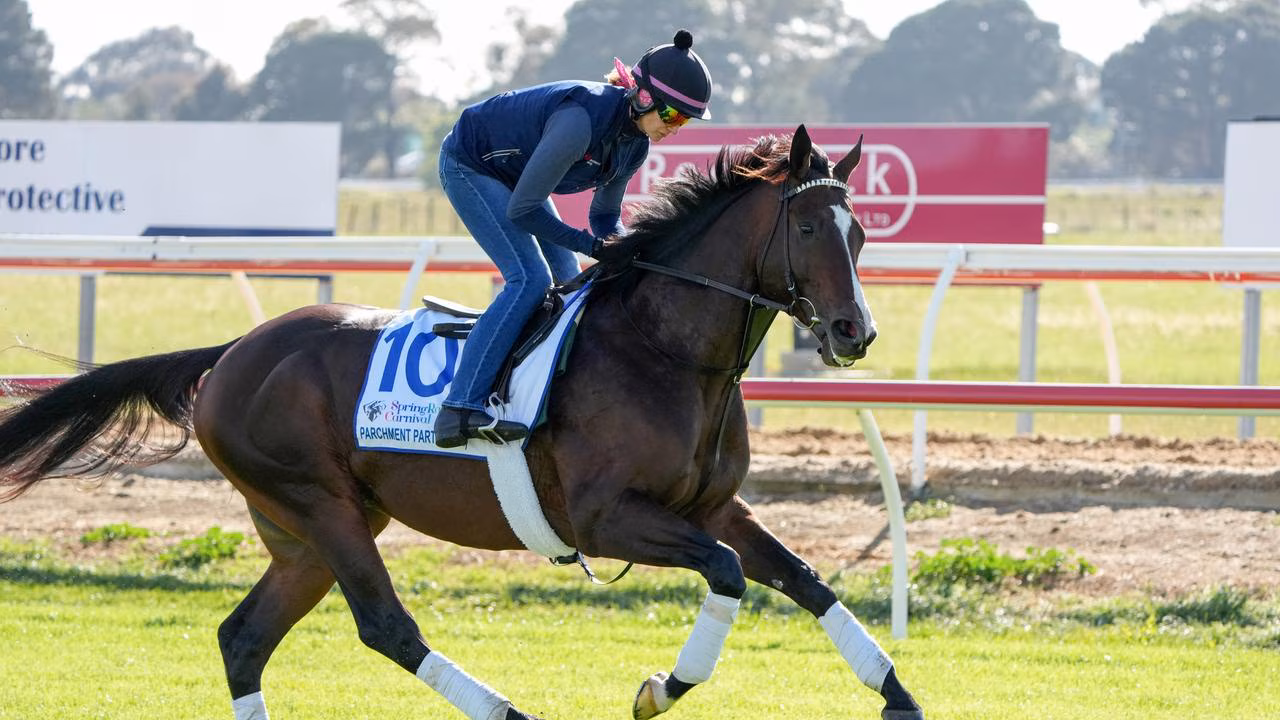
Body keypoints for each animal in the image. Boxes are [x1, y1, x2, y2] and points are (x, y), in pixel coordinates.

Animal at [0, 125, 924, 720]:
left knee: (243, 638)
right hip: (319, 504)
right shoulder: (607, 518)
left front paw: (899, 697)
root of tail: (233, 350)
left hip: (305, 531)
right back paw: (508, 712)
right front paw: (660, 689)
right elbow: (729, 574)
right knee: (385, 627)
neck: (664, 350)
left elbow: (805, 579)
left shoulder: (711, 506)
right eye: (805, 224)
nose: (855, 332)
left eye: (861, 233)